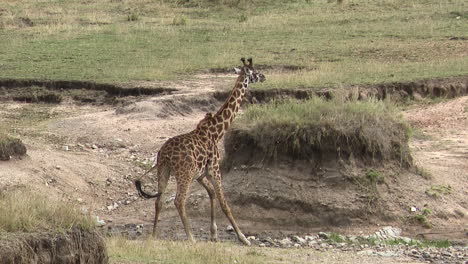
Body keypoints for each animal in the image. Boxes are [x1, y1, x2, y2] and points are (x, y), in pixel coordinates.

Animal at [135, 57, 266, 245]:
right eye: (254, 72)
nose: (264, 76)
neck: (217, 132)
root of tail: (164, 155)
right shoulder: (214, 170)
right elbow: (224, 203)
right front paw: (243, 238)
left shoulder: (200, 175)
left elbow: (211, 194)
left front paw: (214, 234)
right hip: (184, 173)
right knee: (179, 201)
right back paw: (191, 238)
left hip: (163, 170)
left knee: (159, 201)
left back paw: (153, 236)